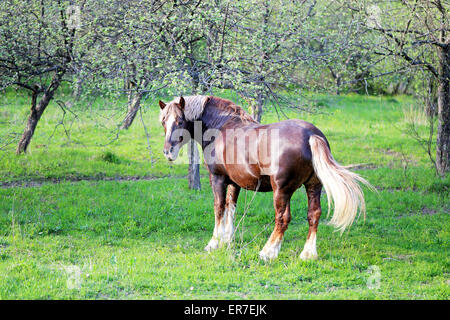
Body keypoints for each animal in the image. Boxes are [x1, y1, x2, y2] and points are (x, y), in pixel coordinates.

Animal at [158, 95, 372, 260]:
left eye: (180, 121)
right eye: (163, 122)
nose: (168, 152)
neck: (222, 127)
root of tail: (311, 135)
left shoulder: (218, 178)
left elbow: (219, 208)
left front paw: (214, 243)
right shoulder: (235, 183)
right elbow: (231, 208)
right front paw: (227, 240)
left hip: (282, 190)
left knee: (283, 218)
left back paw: (268, 252)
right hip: (313, 186)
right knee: (314, 215)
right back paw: (307, 254)